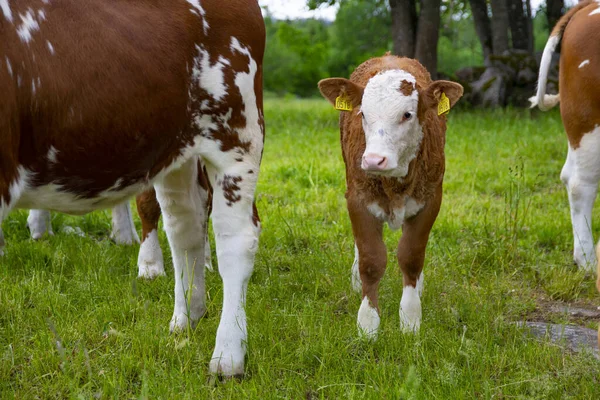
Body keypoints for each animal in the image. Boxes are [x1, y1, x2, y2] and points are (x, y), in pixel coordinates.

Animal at [0, 0, 262, 376]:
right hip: (176, 147)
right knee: (184, 227)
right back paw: (187, 318)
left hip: (236, 137)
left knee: (235, 238)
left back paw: (227, 356)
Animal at [318, 54, 464, 338]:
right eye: (363, 113)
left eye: (407, 114)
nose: (374, 160)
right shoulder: (358, 199)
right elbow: (371, 259)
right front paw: (368, 324)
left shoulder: (430, 200)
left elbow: (411, 256)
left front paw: (410, 319)